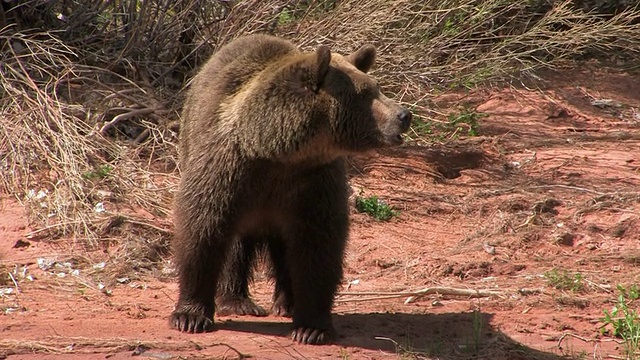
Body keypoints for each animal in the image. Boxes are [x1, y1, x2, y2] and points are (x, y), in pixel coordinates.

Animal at [170, 34, 410, 346]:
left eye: (376, 87)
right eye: (364, 93)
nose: (404, 115)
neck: (280, 152)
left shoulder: (313, 182)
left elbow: (318, 245)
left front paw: (311, 327)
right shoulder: (230, 169)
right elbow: (203, 229)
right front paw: (190, 316)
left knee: (286, 245)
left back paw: (287, 303)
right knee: (237, 242)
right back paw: (237, 300)